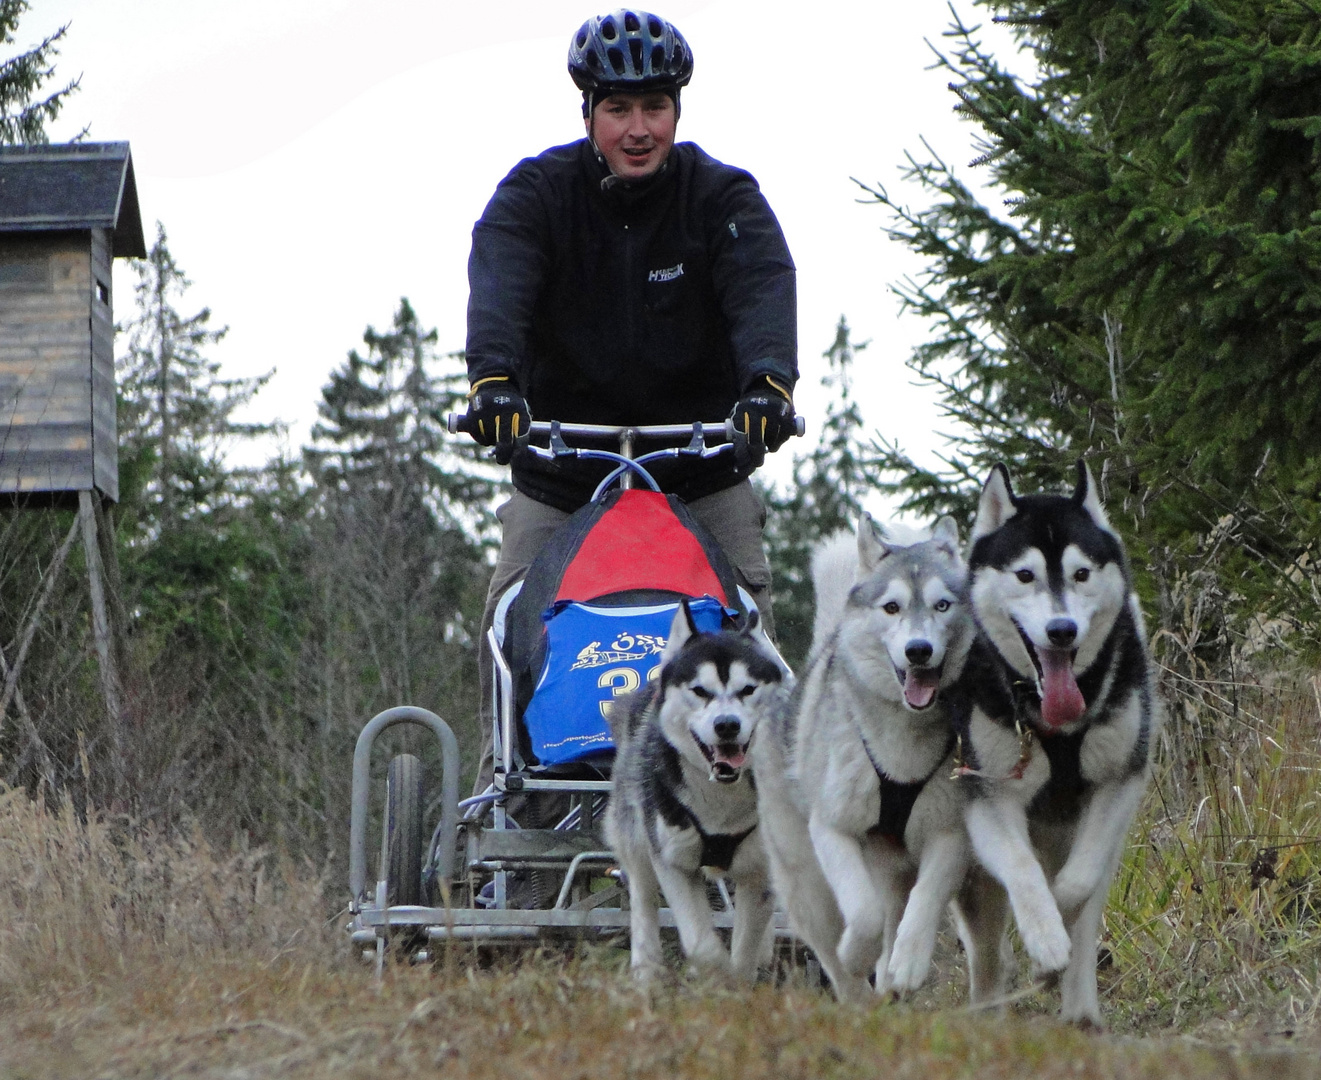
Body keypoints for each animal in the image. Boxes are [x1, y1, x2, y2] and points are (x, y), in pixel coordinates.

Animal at [605, 602, 782, 982]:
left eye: (748, 689)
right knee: (642, 899)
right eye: (700, 691)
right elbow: (702, 945)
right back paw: (646, 970)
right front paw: (713, 975)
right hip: (635, 838)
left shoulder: (759, 870)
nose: (727, 725)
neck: (722, 800)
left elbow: (745, 948)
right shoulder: (673, 861)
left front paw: (737, 978)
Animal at [750, 517, 977, 998]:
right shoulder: (833, 829)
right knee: (833, 950)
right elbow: (863, 915)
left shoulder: (951, 834)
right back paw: (857, 992)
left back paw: (889, 977)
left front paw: (908, 962)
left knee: (895, 908)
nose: (918, 650)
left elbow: (926, 898)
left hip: (893, 866)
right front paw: (856, 954)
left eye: (942, 605)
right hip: (806, 882)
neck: (902, 749)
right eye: (892, 607)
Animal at [951, 459, 1157, 1024]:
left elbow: (1079, 883)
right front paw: (1044, 938)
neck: (1057, 725)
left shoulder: (1119, 783)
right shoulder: (988, 797)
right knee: (986, 954)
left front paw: (1060, 927)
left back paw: (1080, 1012)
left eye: (1081, 574)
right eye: (1025, 575)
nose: (1062, 630)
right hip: (973, 881)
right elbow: (1023, 870)